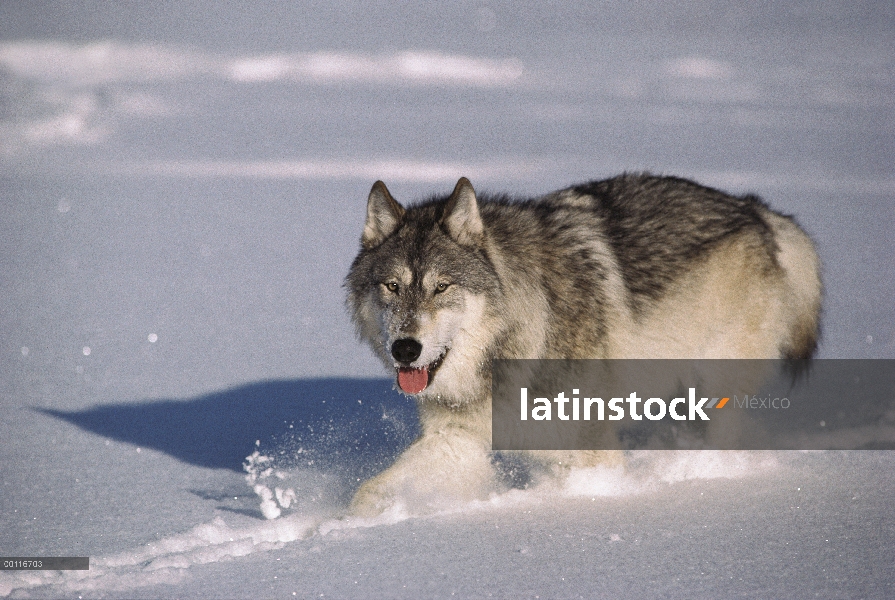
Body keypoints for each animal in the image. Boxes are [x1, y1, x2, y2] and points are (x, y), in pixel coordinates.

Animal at [346, 173, 824, 516]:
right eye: (392, 286)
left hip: (716, 383)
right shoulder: (459, 441)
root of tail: (755, 209)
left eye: (442, 287)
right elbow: (368, 493)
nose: (405, 349)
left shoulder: (592, 452)